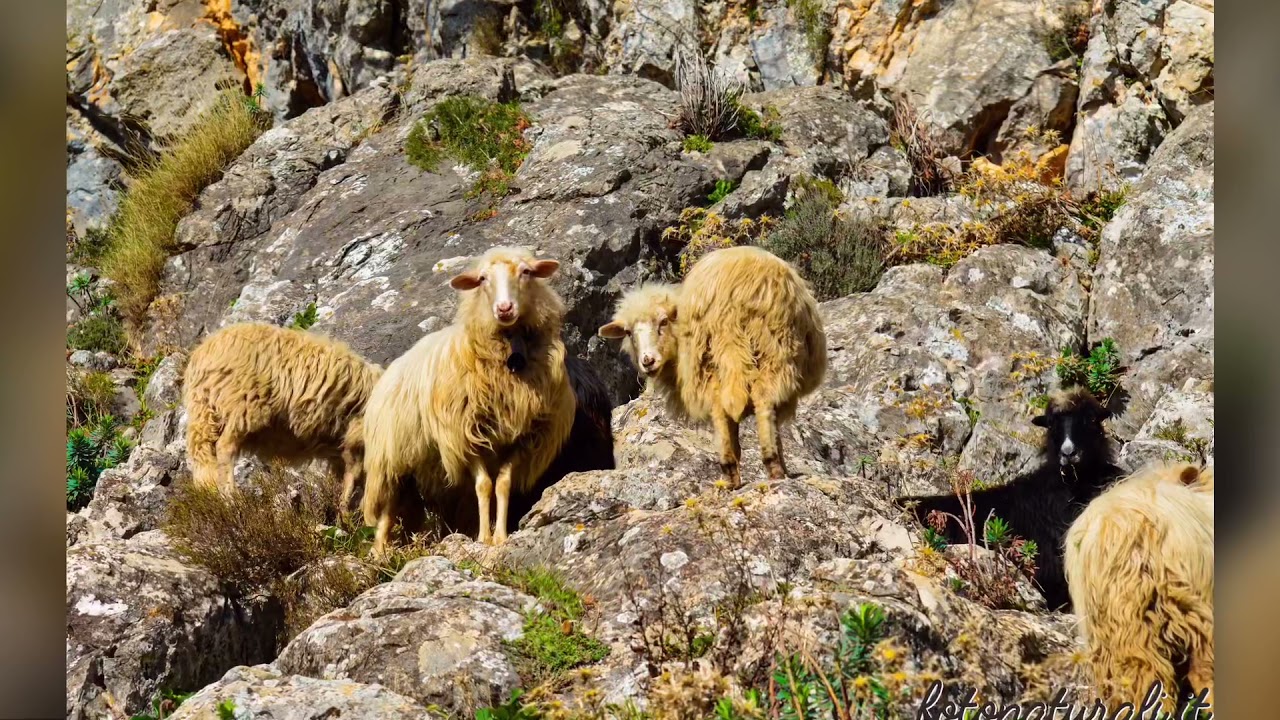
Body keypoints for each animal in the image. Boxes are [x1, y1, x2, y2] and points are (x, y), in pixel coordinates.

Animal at [183, 322, 383, 510]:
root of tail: (203, 354)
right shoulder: (356, 440)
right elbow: (355, 475)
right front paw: (348, 509)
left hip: (205, 412)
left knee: (203, 456)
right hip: (242, 407)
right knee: (224, 448)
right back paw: (231, 497)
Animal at [360, 247, 576, 553]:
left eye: (526, 272)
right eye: (483, 279)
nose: (504, 309)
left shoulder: (522, 439)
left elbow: (503, 484)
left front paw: (500, 536)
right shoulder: (466, 437)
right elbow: (483, 485)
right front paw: (484, 537)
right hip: (391, 456)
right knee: (387, 505)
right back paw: (379, 552)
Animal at [598, 246, 826, 488]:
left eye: (663, 322)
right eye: (628, 332)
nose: (647, 361)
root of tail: (727, 302)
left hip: (710, 358)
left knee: (720, 409)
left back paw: (730, 473)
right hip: (773, 348)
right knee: (763, 400)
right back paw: (774, 467)